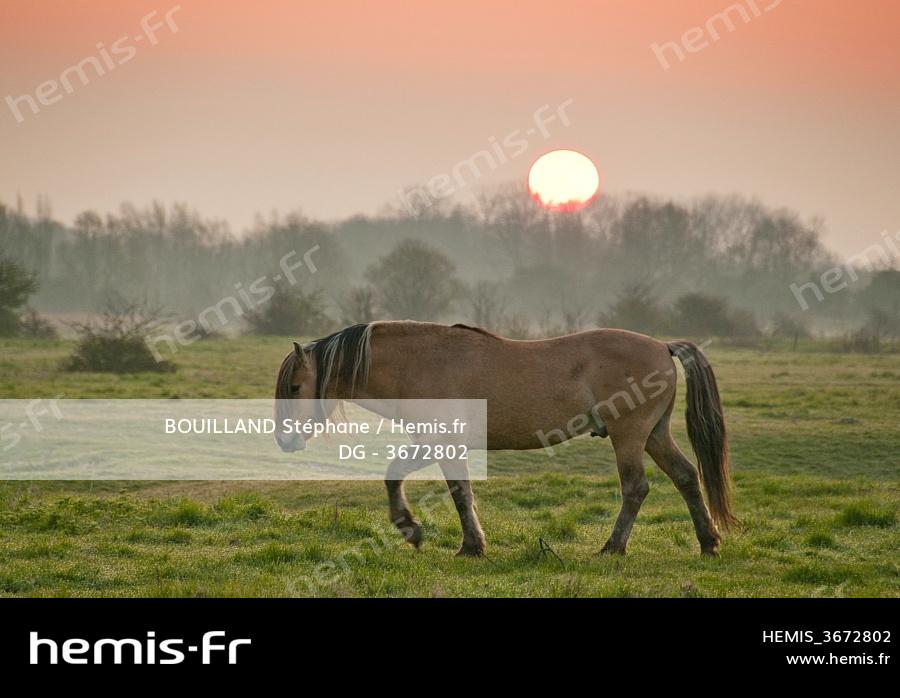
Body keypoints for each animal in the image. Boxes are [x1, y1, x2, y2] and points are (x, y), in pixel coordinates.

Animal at [272, 320, 732, 556]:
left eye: (295, 387)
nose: (284, 441)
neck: (420, 363)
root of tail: (662, 346)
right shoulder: (443, 444)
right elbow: (441, 486)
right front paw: (452, 539)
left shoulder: (440, 442)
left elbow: (437, 487)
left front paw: (441, 537)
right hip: (654, 435)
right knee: (687, 477)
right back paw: (708, 542)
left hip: (629, 437)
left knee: (635, 488)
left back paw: (612, 547)